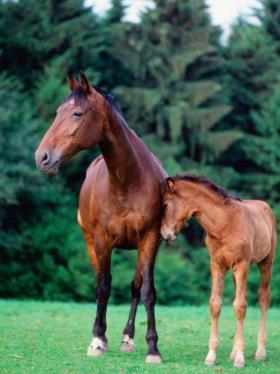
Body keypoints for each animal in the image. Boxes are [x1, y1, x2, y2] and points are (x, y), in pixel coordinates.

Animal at [34, 72, 166, 362]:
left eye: (77, 113)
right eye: (58, 111)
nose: (42, 157)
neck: (127, 180)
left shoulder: (150, 239)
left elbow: (147, 291)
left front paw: (153, 348)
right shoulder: (102, 240)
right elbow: (103, 287)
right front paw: (97, 341)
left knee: (135, 286)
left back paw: (128, 338)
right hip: (91, 242)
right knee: (101, 283)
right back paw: (103, 337)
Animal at [160, 175, 276, 368]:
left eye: (165, 205)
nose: (165, 235)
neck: (224, 223)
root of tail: (265, 207)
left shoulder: (242, 265)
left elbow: (240, 307)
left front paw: (240, 359)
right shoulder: (217, 265)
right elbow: (216, 305)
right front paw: (211, 356)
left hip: (266, 262)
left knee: (264, 298)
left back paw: (260, 352)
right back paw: (233, 352)